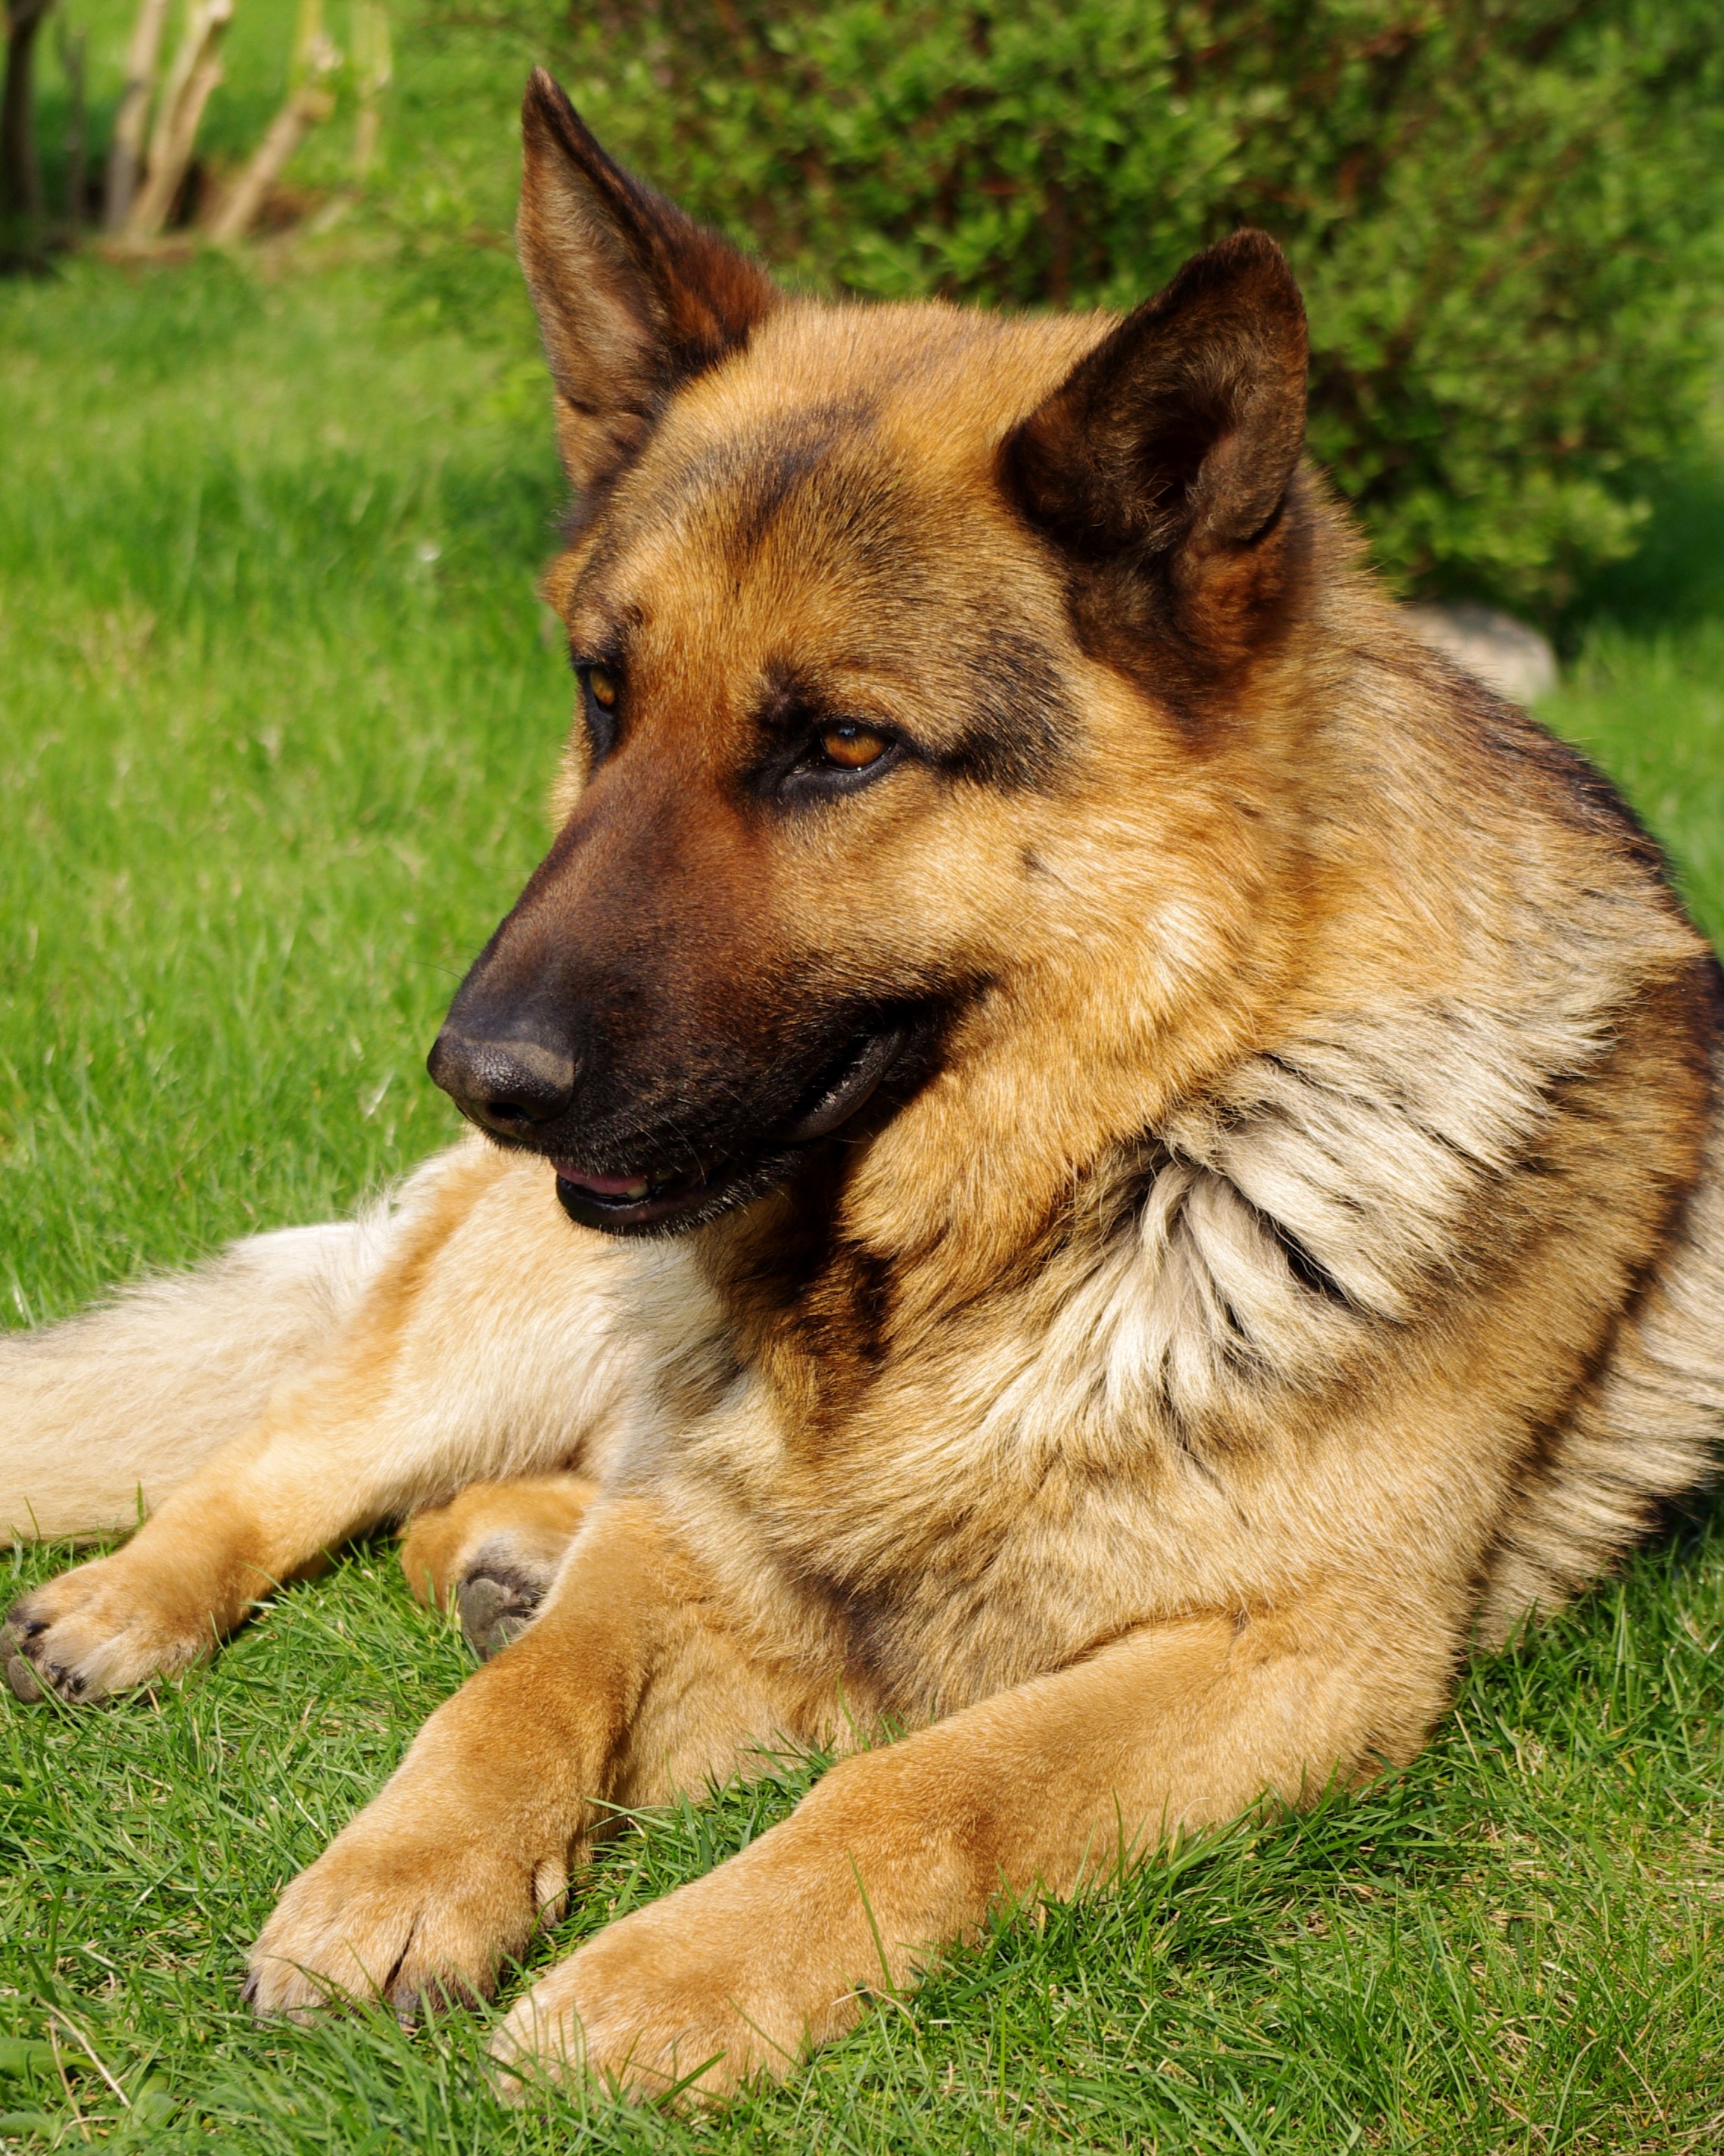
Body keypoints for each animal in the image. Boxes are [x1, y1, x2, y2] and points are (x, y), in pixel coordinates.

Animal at [3, 71, 1724, 2104]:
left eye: (838, 745)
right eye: (601, 693)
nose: (480, 1071)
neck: (1097, 1171)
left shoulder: (1287, 1653)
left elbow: (933, 1781)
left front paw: (664, 1975)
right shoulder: (695, 1517)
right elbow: (527, 1691)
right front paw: (401, 1870)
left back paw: (503, 1550)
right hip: (516, 1322)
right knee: (292, 1450)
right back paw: (138, 1597)